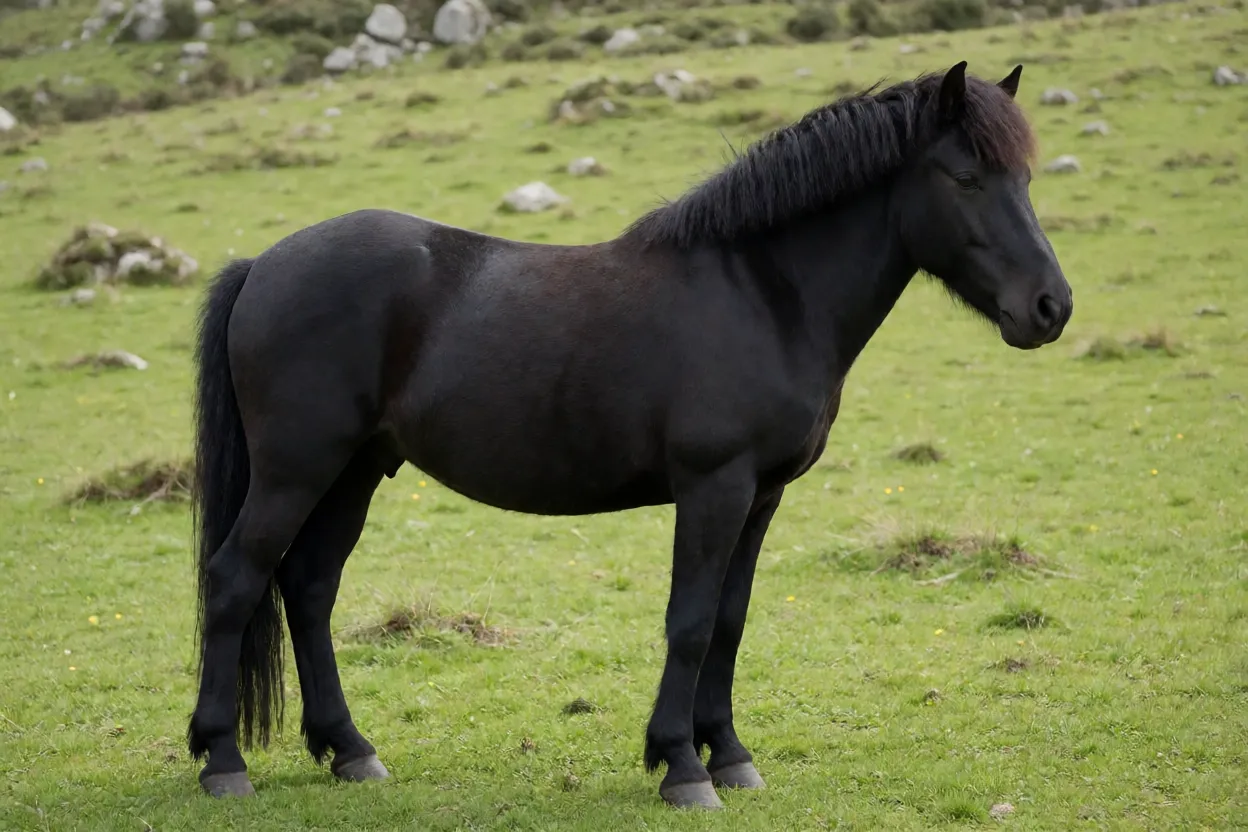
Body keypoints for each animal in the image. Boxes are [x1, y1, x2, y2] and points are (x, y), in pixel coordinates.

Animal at [186, 61, 1072, 810]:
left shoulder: (762, 496)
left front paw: (731, 755)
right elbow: (690, 620)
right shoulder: (714, 487)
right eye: (966, 177)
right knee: (236, 579)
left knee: (308, 589)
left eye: (1025, 177)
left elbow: (730, 621)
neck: (766, 292)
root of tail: (263, 265)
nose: (1049, 307)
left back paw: (349, 749)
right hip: (297, 470)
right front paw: (681, 765)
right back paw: (223, 761)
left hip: (356, 471)